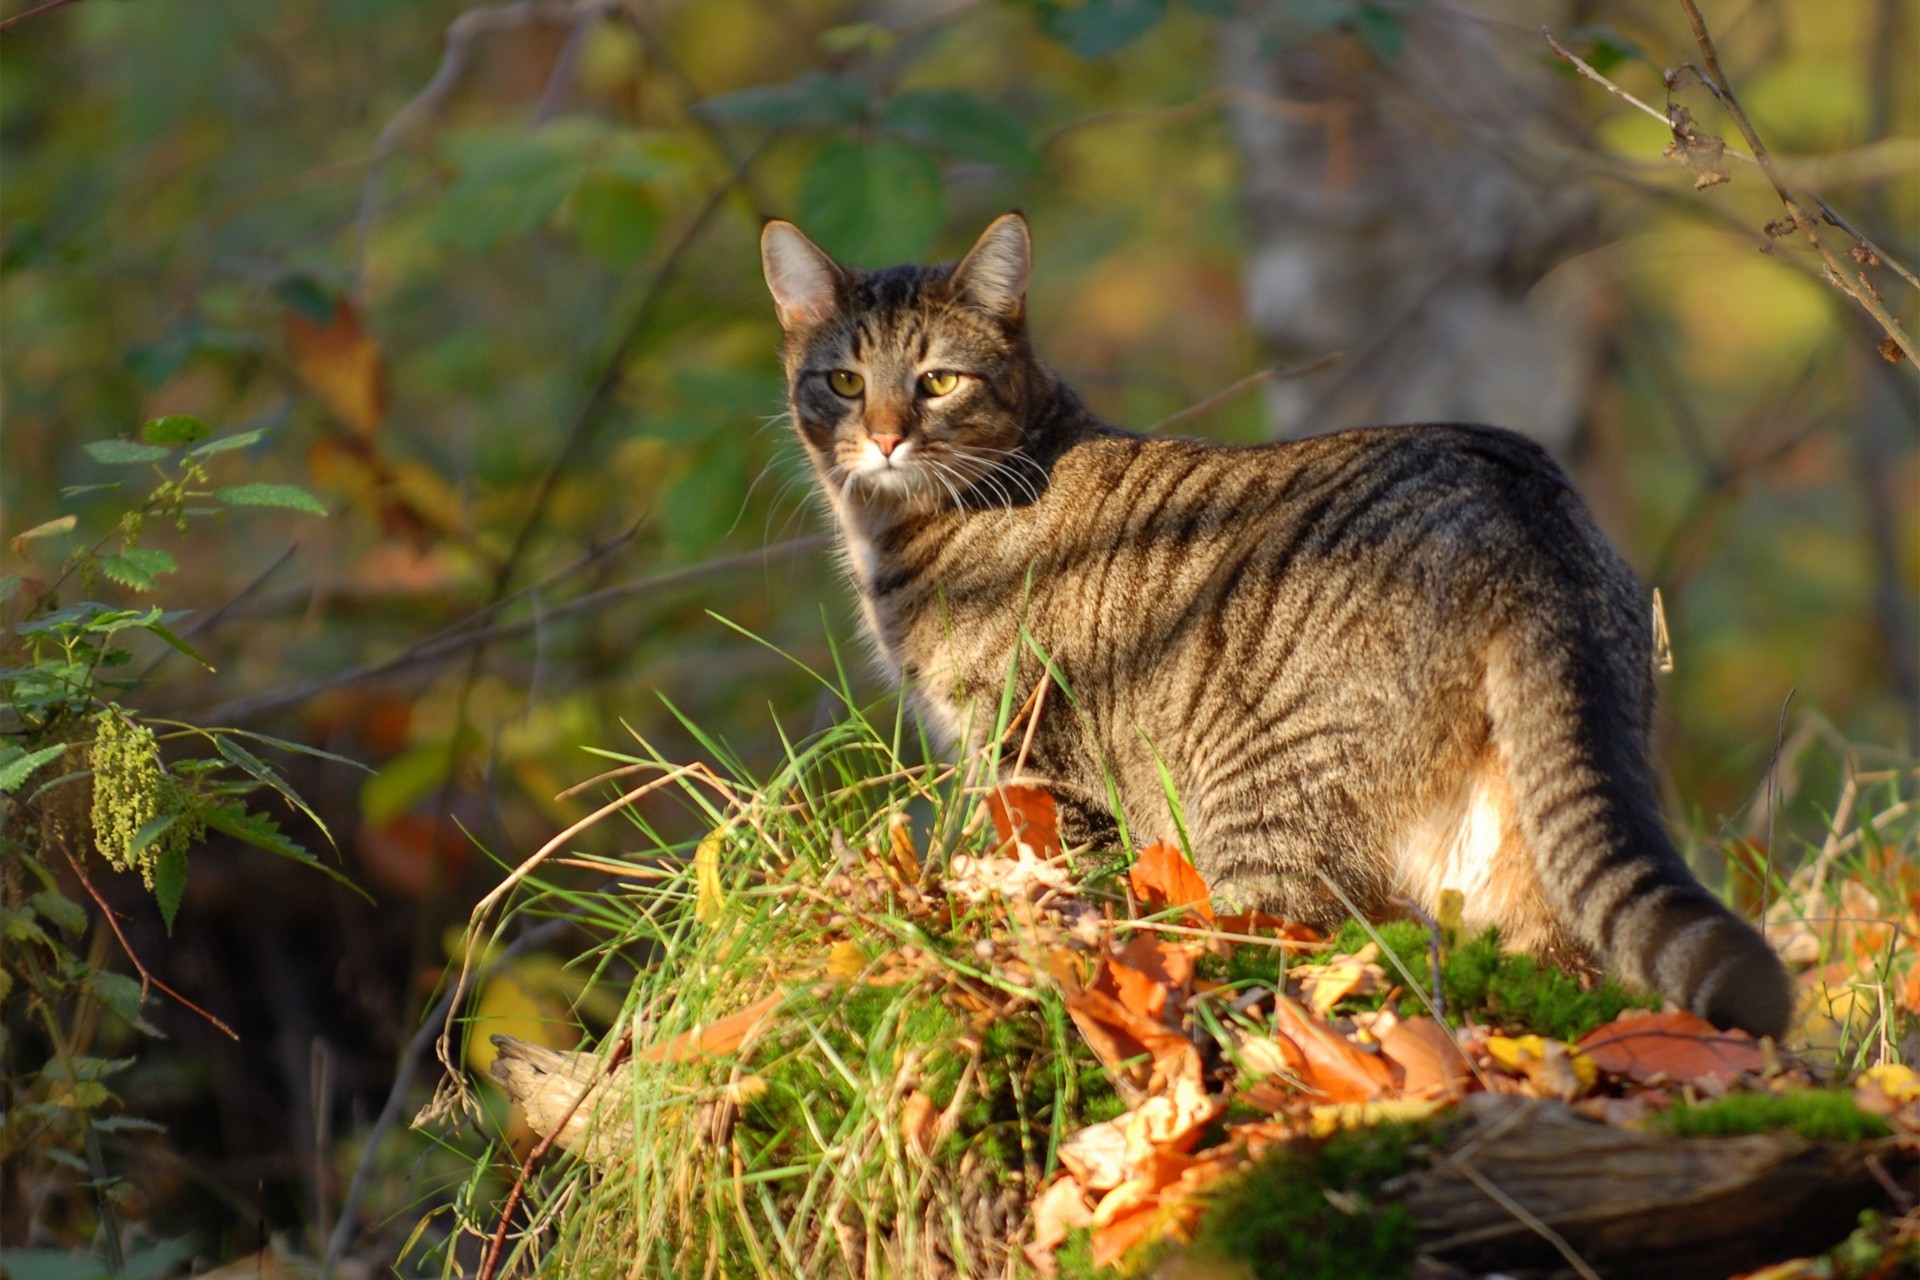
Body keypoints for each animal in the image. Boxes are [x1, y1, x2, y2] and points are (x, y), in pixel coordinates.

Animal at [756, 208, 1789, 1028]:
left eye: (937, 382)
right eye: (844, 382)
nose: (885, 436)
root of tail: (1526, 506)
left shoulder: (1033, 759)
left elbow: (1061, 882)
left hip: (1265, 808)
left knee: (1300, 948)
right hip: (1516, 833)